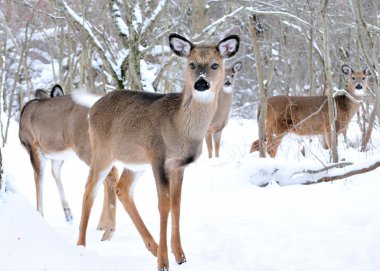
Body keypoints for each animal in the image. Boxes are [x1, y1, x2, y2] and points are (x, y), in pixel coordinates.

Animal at [17, 84, 118, 241]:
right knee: (109, 176)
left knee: (110, 174)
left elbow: (39, 181)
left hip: (86, 146)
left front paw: (40, 216)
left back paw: (108, 231)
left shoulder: (33, 146)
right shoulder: (55, 155)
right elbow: (56, 175)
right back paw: (102, 226)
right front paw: (68, 214)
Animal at [75, 33, 239, 270]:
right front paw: (164, 262)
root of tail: (92, 109)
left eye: (215, 64)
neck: (179, 127)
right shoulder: (159, 158)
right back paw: (81, 246)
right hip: (102, 151)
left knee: (122, 188)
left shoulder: (179, 165)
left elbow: (177, 204)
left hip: (135, 161)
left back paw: (151, 246)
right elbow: (164, 204)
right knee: (90, 190)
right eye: (191, 64)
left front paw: (180, 256)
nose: (201, 83)